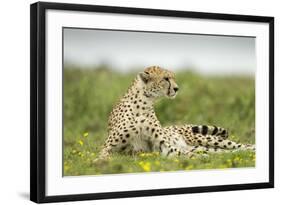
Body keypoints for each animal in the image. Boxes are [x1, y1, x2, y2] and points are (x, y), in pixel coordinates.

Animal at [98, 65, 254, 159]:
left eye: (173, 77)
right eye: (166, 79)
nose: (177, 88)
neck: (144, 103)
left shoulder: (163, 145)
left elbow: (179, 151)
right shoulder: (110, 146)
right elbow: (103, 154)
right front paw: (101, 161)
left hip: (205, 139)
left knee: (239, 145)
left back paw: (251, 148)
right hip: (202, 146)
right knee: (223, 152)